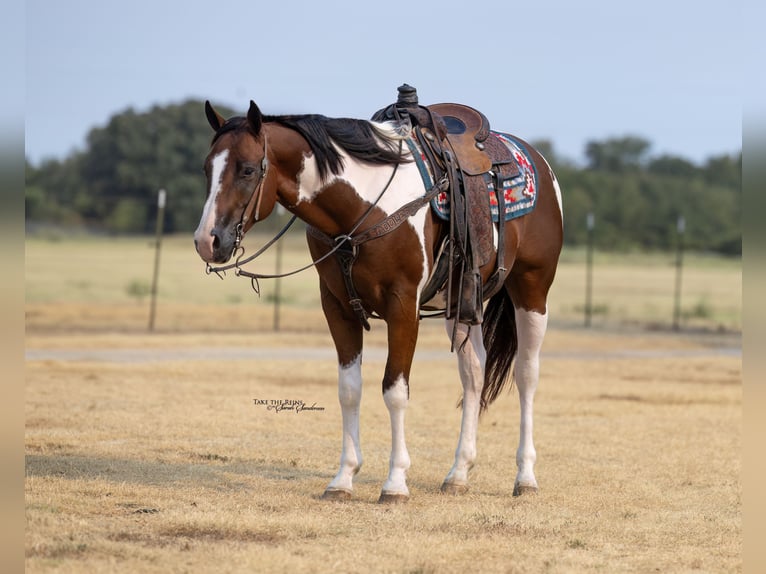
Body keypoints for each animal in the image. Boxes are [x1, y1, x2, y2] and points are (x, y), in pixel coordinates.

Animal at [193, 93, 563, 503]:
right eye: (207, 169)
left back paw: (525, 476)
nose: (207, 241)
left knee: (527, 374)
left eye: (246, 170)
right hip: (461, 303)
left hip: (532, 290)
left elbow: (394, 390)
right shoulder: (337, 307)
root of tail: (537, 161)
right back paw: (458, 473)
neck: (362, 207)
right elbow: (349, 391)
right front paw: (343, 478)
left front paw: (396, 482)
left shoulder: (403, 307)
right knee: (474, 374)